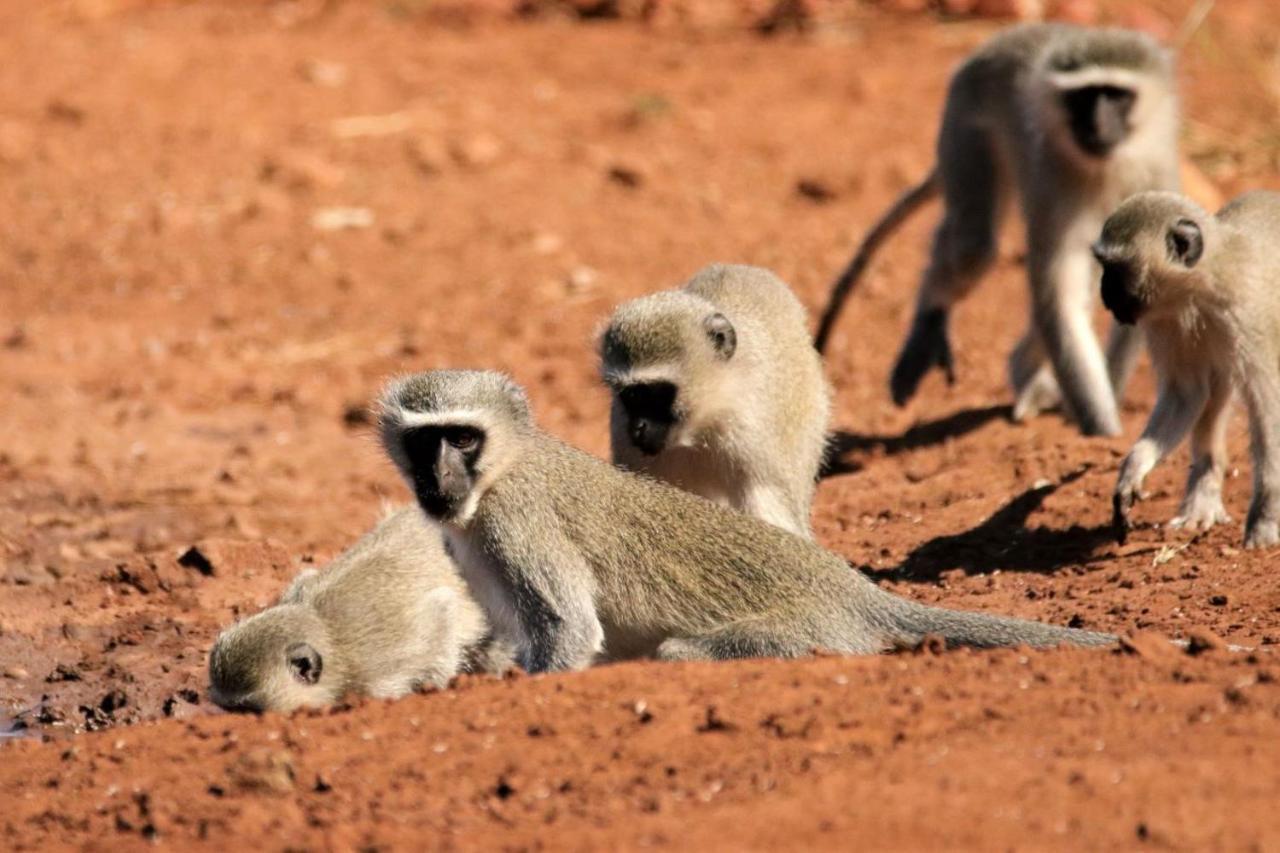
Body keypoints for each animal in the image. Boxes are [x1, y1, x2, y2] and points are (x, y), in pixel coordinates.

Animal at [376, 366, 1111, 671]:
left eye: (463, 438)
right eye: (423, 441)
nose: (438, 478)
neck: (499, 473)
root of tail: (854, 592)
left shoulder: (517, 523)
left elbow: (568, 633)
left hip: (815, 630)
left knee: (680, 650)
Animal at [814, 23, 1182, 435]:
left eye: (1117, 96)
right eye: (1083, 98)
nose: (1097, 125)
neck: (1108, 167)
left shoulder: (1156, 182)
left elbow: (1137, 283)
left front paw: (1105, 409)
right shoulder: (1052, 182)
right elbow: (1058, 289)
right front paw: (1100, 429)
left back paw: (1029, 375)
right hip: (965, 123)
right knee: (972, 245)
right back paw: (932, 321)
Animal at [1095, 189, 1280, 548]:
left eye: (1116, 269)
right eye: (1105, 267)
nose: (1104, 292)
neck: (1201, 289)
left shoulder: (1248, 318)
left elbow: (1267, 406)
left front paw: (1266, 519)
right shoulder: (1166, 322)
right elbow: (1186, 394)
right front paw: (1133, 468)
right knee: (1215, 388)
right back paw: (1202, 493)